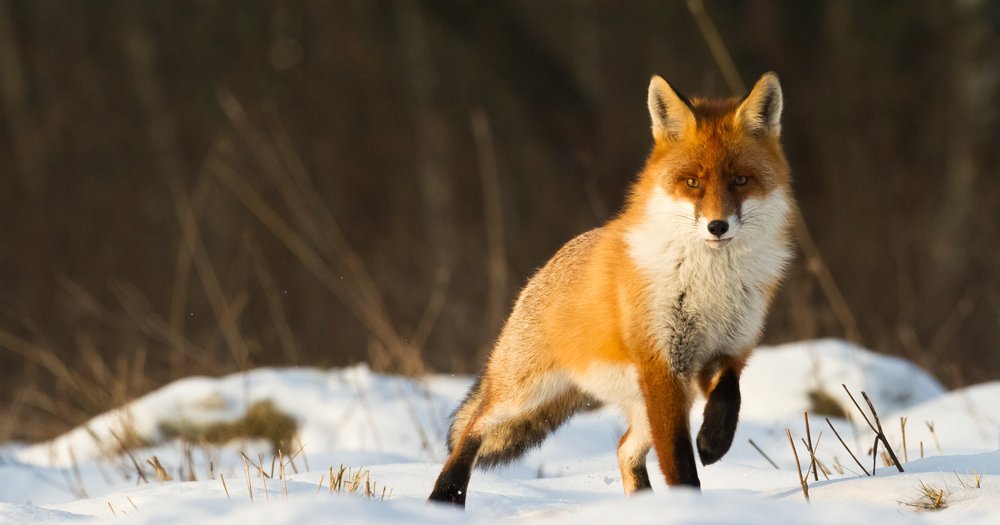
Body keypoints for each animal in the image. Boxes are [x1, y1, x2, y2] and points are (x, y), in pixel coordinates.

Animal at [430, 72, 796, 504]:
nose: (717, 226)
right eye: (692, 183)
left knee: (624, 449)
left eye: (741, 181)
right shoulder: (661, 365)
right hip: (523, 392)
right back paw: (445, 497)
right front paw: (690, 504)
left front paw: (714, 441)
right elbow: (678, 459)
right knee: (472, 430)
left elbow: (730, 397)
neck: (710, 285)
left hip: (650, 400)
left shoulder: (726, 352)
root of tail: (545, 266)